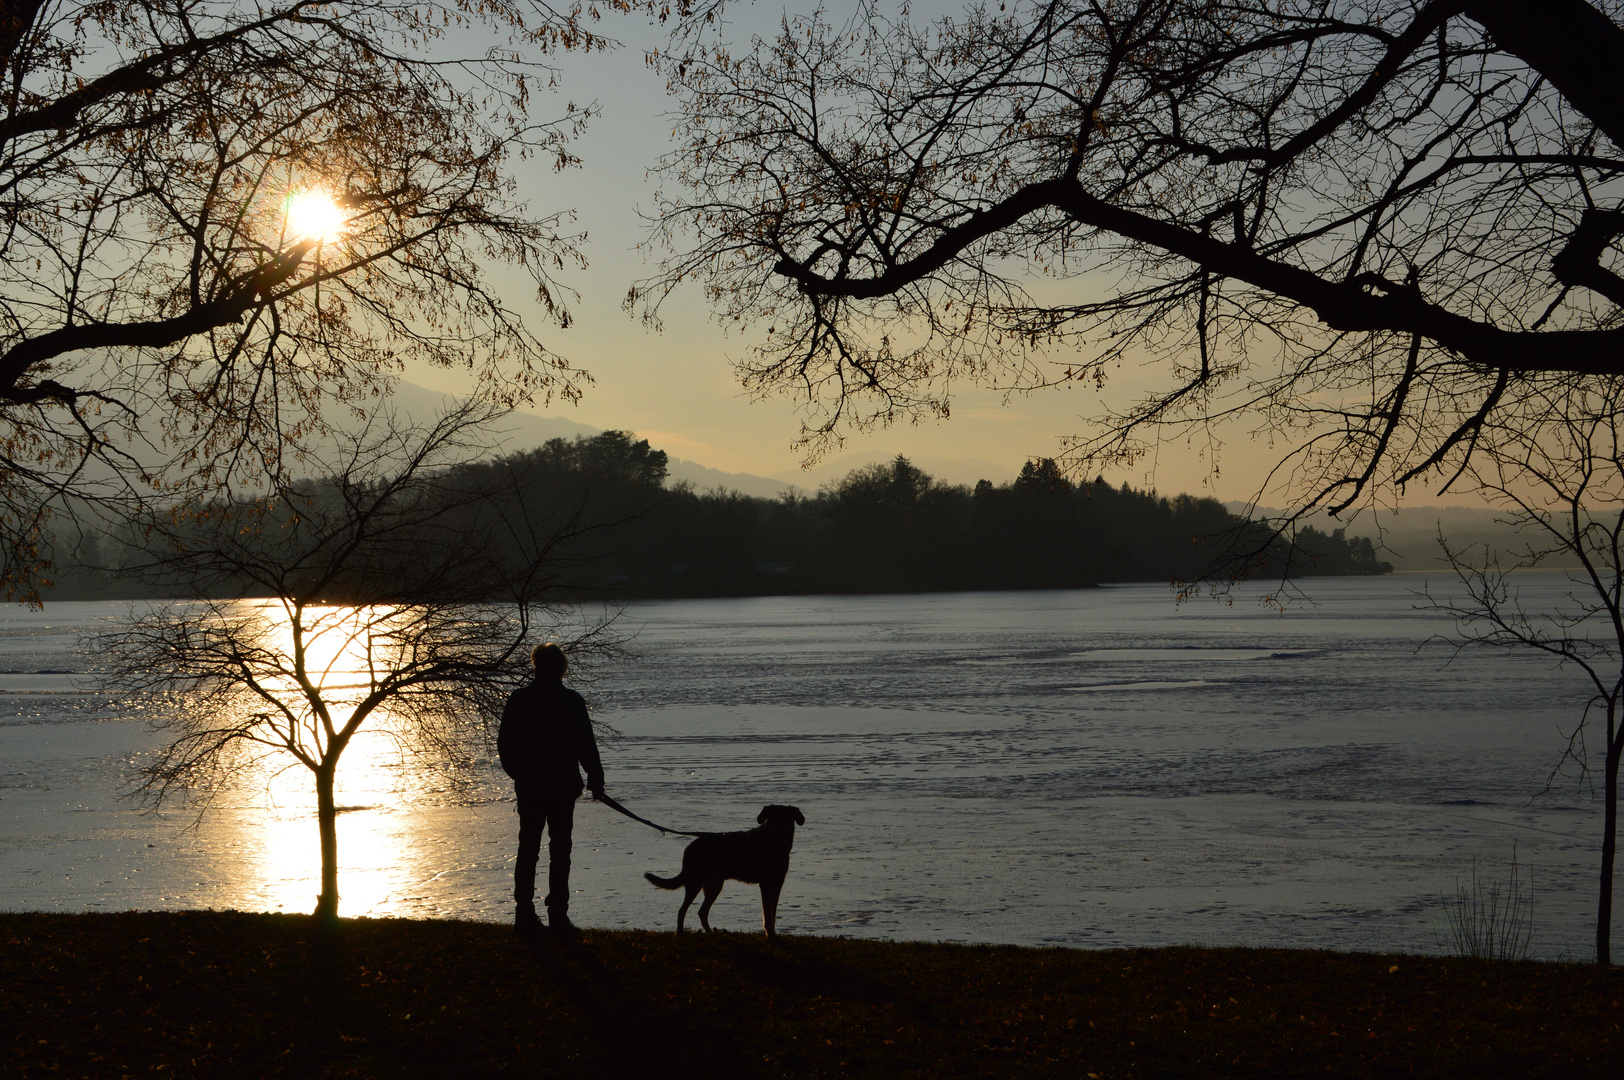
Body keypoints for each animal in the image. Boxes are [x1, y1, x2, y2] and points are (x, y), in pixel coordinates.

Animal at [643, 805, 802, 928]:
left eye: (787, 817)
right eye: (772, 816)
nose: (779, 828)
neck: (774, 844)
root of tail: (689, 847)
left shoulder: (778, 882)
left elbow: (772, 913)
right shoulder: (766, 883)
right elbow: (768, 915)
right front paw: (770, 934)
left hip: (714, 885)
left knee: (702, 912)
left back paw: (711, 933)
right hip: (695, 882)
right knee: (682, 910)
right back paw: (680, 933)